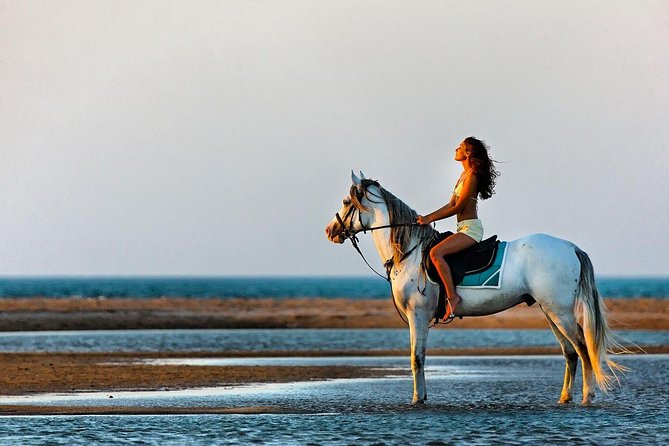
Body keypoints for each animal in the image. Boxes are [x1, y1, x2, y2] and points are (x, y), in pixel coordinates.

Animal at [325, 171, 625, 405]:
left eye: (345, 202)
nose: (329, 231)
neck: (410, 252)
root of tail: (571, 247)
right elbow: (417, 357)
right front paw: (421, 396)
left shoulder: (417, 314)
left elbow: (416, 358)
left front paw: (417, 399)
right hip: (550, 312)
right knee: (570, 352)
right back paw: (564, 398)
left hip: (560, 312)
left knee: (583, 349)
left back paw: (587, 397)